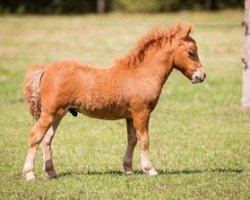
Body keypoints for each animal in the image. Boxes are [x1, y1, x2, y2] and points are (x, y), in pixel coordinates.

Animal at [22, 23, 205, 181]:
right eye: (191, 52)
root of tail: (46, 69)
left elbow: (132, 139)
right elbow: (144, 139)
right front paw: (150, 169)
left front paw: (128, 169)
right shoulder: (141, 112)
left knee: (47, 138)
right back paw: (29, 174)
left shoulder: (131, 116)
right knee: (36, 134)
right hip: (50, 112)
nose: (201, 76)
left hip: (58, 113)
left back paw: (51, 172)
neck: (142, 74)